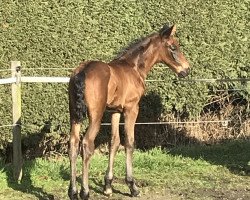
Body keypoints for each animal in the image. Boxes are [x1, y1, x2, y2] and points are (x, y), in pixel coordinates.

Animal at [68, 24, 189, 199]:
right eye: (173, 47)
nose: (186, 70)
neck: (134, 68)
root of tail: (82, 71)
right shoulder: (132, 109)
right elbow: (129, 142)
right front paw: (132, 186)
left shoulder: (115, 111)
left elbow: (114, 141)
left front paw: (108, 186)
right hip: (95, 116)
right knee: (86, 144)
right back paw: (85, 191)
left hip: (74, 115)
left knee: (73, 144)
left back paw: (72, 191)